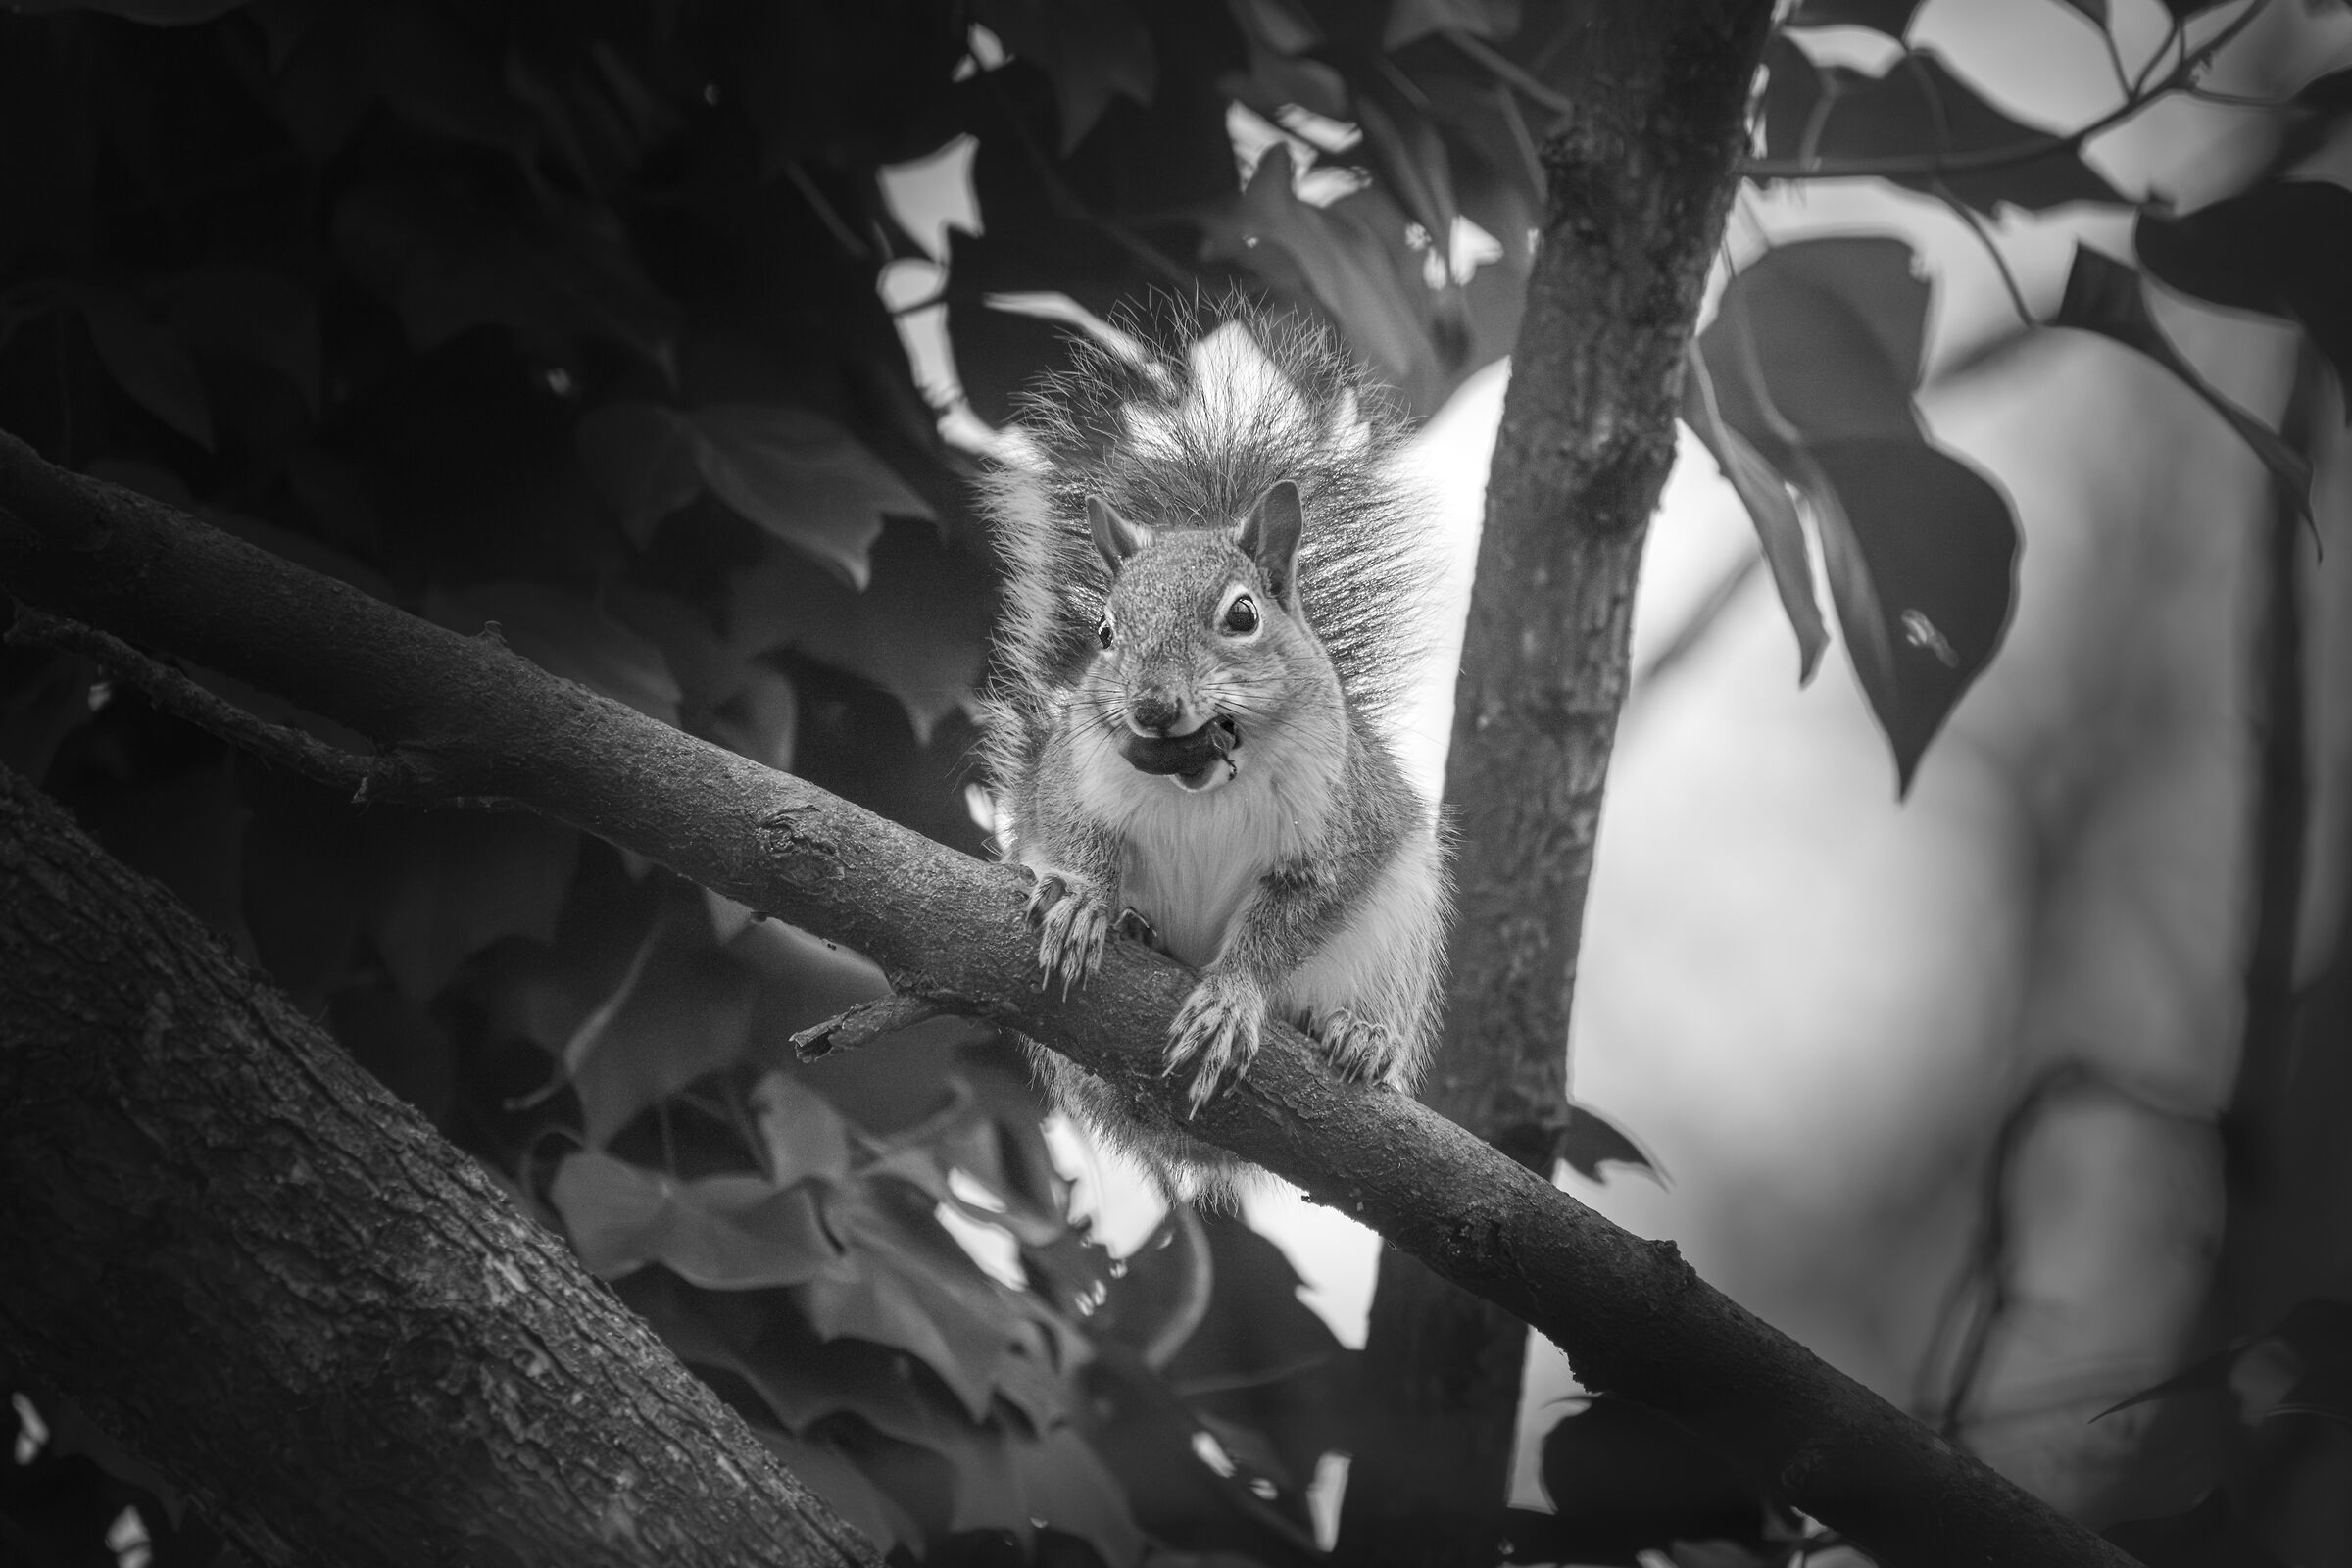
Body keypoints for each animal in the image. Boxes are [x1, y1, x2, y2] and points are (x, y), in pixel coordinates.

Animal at [974, 297, 1451, 1205]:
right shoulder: (1075, 782)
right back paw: (1136, 930)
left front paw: (1232, 1001)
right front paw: (1087, 902)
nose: (1154, 707)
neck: (1201, 781)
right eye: (1106, 634)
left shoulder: (1334, 836)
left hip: (1400, 933)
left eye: (1242, 616)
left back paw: (1359, 1037)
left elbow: (1285, 927)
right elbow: (1078, 841)